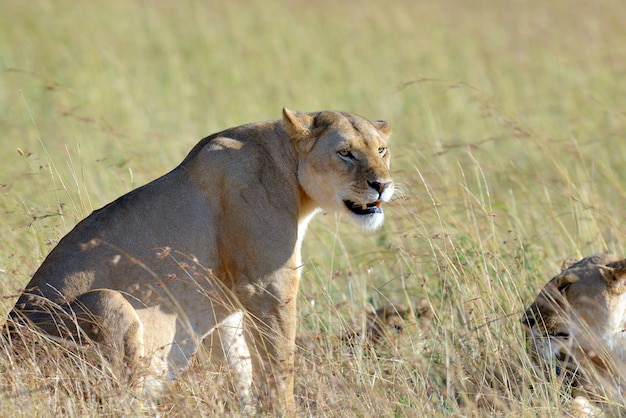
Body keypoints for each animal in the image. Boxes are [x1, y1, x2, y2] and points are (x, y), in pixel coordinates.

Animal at [4, 108, 392, 414]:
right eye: (345, 153)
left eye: (382, 150)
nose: (383, 185)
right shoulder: (267, 287)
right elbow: (280, 365)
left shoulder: (227, 305)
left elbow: (240, 367)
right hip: (107, 303)